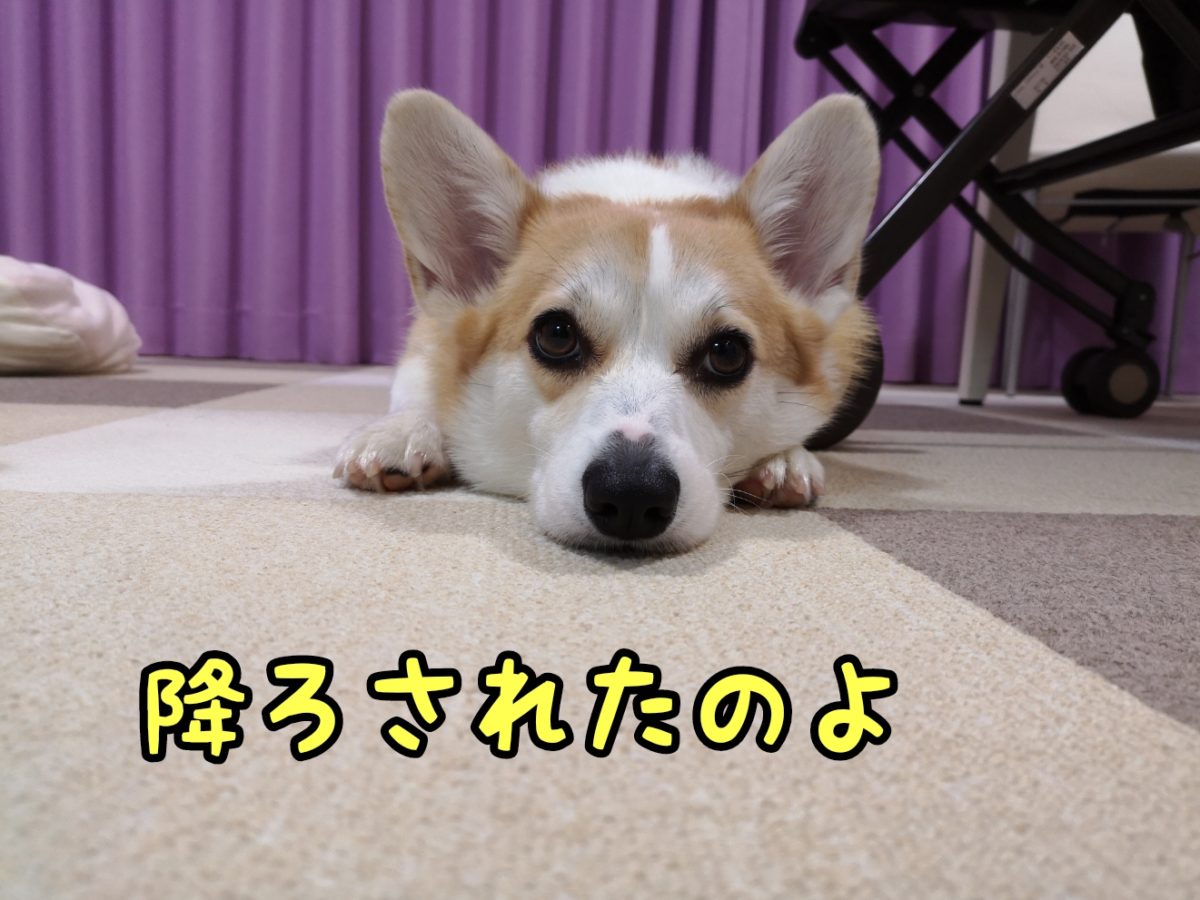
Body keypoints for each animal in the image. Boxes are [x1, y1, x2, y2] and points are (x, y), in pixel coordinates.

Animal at [334, 90, 880, 553]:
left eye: (727, 353)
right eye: (556, 335)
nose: (633, 495)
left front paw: (784, 457)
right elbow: (419, 391)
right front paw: (401, 431)